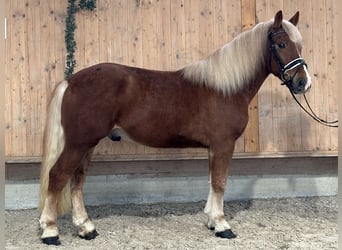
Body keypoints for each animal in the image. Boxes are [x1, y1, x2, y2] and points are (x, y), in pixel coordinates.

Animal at [38, 10, 312, 245]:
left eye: (299, 45)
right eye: (281, 45)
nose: (303, 83)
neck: (226, 88)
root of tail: (71, 81)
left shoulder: (214, 148)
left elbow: (212, 180)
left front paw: (212, 221)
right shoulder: (224, 144)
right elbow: (220, 182)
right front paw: (223, 226)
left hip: (87, 144)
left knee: (77, 181)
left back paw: (86, 228)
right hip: (79, 144)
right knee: (58, 176)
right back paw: (50, 231)